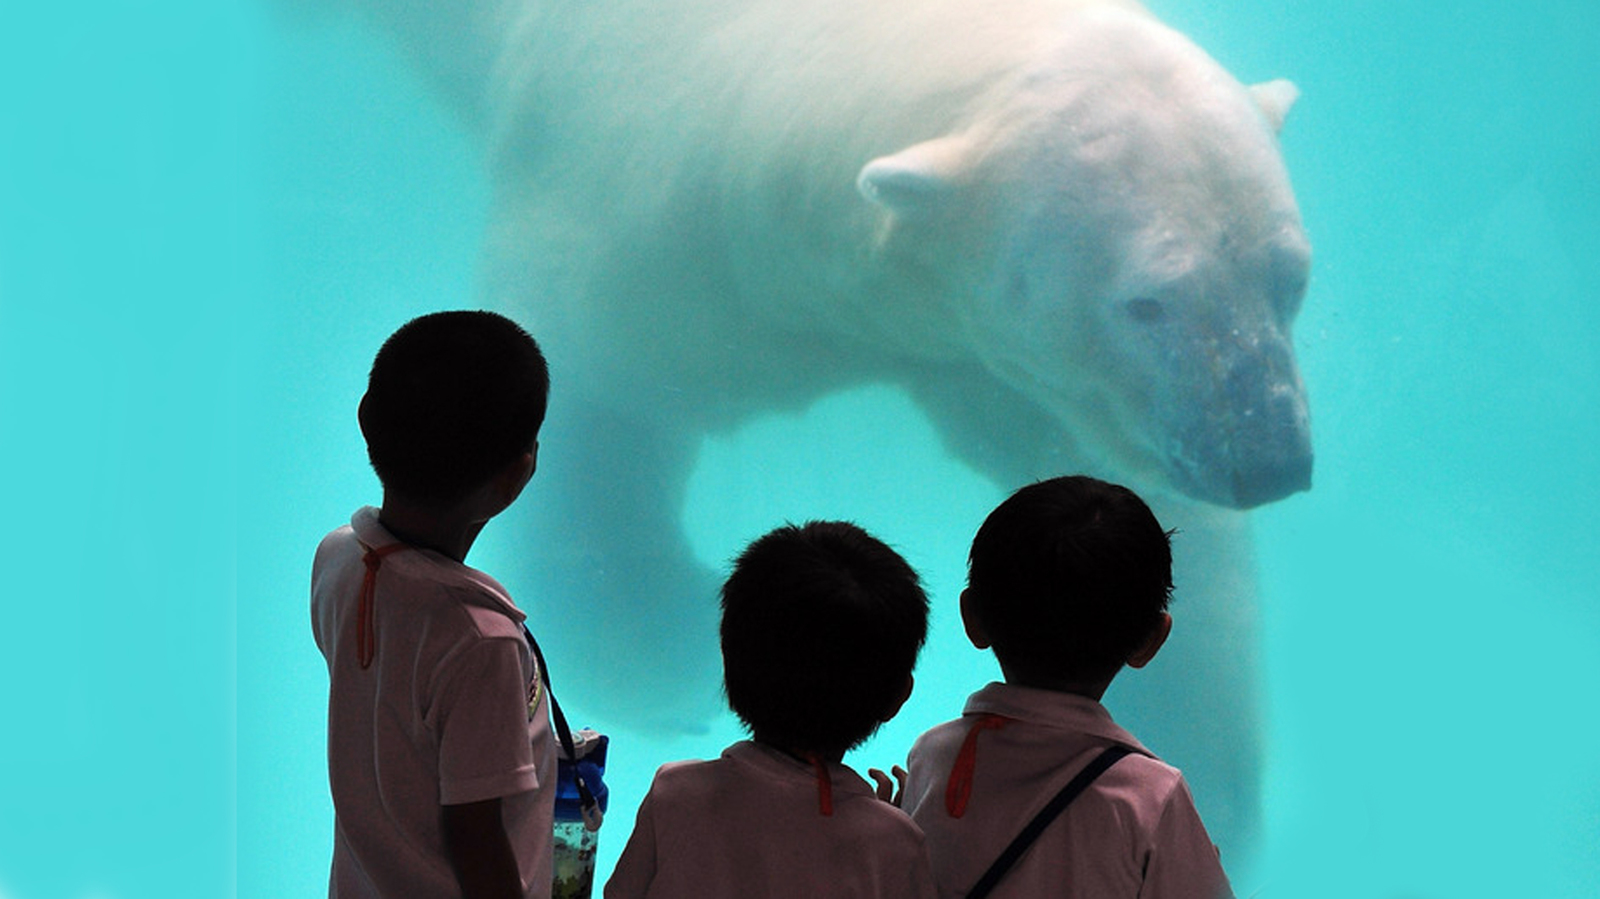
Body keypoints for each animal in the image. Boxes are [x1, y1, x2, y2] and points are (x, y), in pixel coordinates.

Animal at [337, 0, 1312, 857]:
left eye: (1292, 273)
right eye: (1147, 299)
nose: (1269, 458)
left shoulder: (976, 349)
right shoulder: (655, 215)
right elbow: (600, 382)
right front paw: (656, 650)